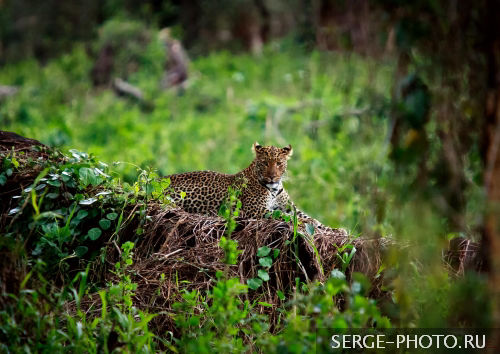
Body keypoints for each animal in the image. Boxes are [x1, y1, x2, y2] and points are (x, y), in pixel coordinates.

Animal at [164, 141, 348, 235]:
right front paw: (309, 223)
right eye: (265, 163)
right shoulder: (255, 211)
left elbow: (305, 216)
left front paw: (335, 229)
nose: (272, 176)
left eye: (279, 163)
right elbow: (285, 216)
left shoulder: (290, 207)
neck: (274, 188)